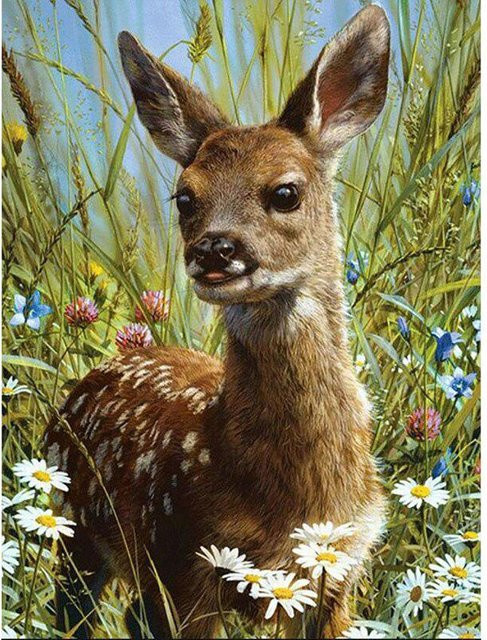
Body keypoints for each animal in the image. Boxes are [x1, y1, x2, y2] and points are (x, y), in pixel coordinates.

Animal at [45, 5, 390, 638]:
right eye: (184, 197)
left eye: (286, 192)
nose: (213, 248)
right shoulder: (185, 559)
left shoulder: (340, 571)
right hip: (78, 528)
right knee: (77, 611)